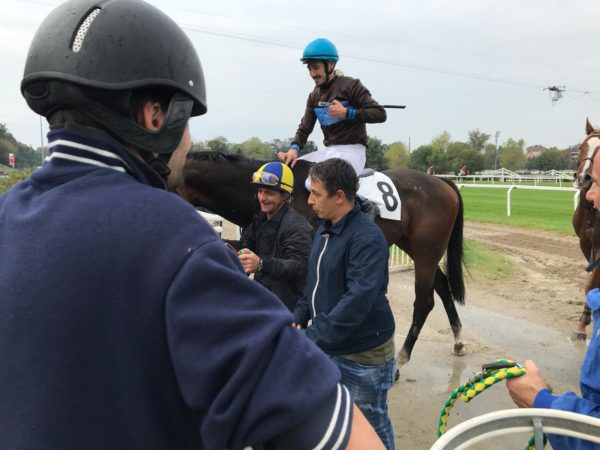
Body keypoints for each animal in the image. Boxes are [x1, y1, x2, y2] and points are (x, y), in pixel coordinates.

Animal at [180, 153, 466, 368]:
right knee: (442, 287)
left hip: (427, 251)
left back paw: (402, 359)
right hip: (415, 247)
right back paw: (458, 341)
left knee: (425, 301)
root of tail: (442, 182)